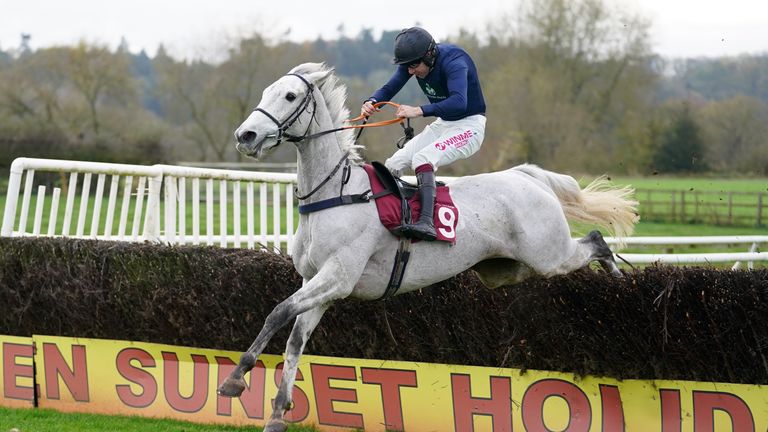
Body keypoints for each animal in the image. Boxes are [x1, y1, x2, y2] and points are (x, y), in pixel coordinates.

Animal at [218, 62, 636, 430]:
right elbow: (295, 338)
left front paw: (237, 376)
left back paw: (619, 279)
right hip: (508, 270)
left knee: (595, 241)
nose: (245, 136)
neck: (336, 193)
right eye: (266, 92)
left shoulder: (337, 277)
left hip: (549, 255)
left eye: (289, 96)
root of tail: (527, 176)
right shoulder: (318, 284)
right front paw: (277, 412)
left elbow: (277, 313)